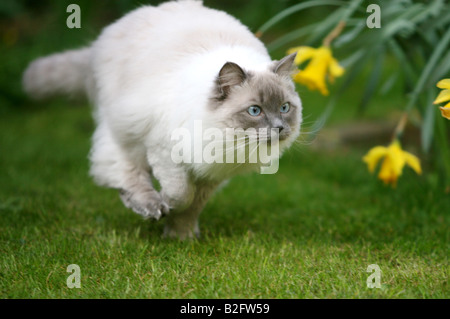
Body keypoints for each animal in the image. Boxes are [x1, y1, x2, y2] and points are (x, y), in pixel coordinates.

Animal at [22, 0, 302, 240]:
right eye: (255, 111)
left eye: (284, 108)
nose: (279, 128)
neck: (229, 141)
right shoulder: (165, 151)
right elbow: (181, 194)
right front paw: (166, 206)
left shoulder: (212, 174)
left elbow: (192, 207)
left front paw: (181, 237)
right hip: (126, 130)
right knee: (120, 169)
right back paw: (149, 206)